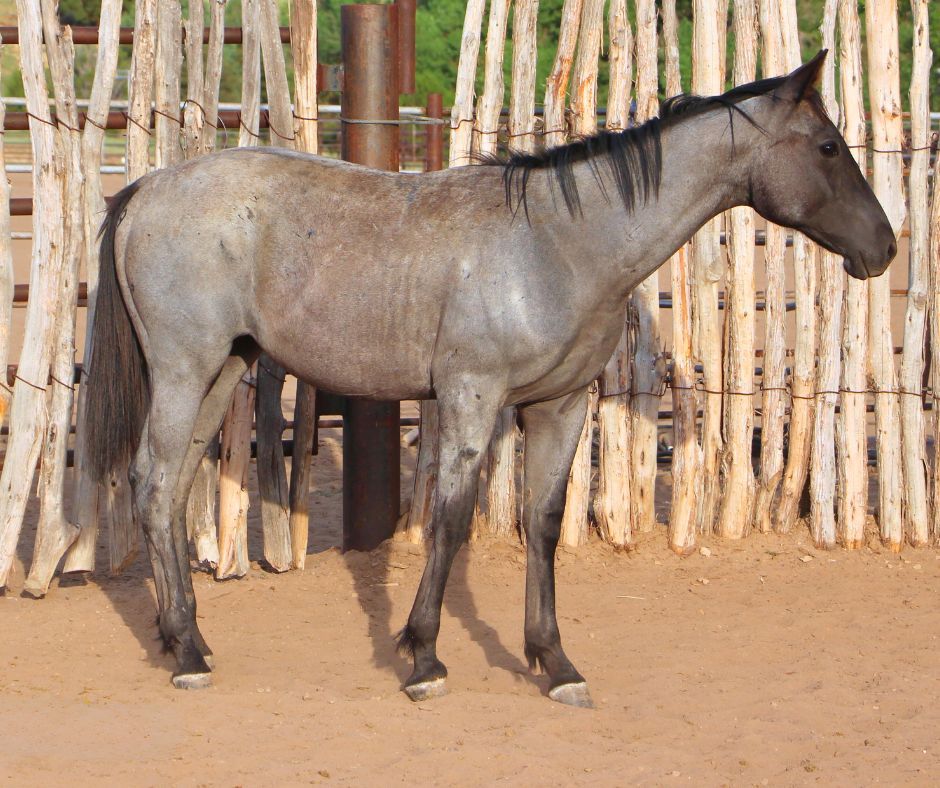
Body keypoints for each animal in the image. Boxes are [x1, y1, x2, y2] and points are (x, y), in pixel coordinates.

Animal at [84, 50, 895, 706]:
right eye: (827, 145)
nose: (884, 247)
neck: (559, 244)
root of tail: (145, 191)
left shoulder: (560, 408)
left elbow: (543, 521)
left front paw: (555, 663)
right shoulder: (471, 399)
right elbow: (448, 519)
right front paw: (423, 660)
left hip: (224, 368)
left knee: (172, 487)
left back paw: (186, 637)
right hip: (184, 369)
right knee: (155, 479)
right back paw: (186, 654)